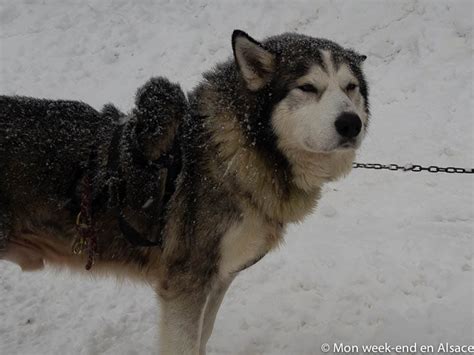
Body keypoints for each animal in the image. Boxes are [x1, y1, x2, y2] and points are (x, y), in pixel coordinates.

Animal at [0, 31, 368, 355]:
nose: (351, 123)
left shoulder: (218, 280)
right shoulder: (185, 285)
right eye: (307, 87)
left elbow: (203, 337)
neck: (231, 155)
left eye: (350, 87)